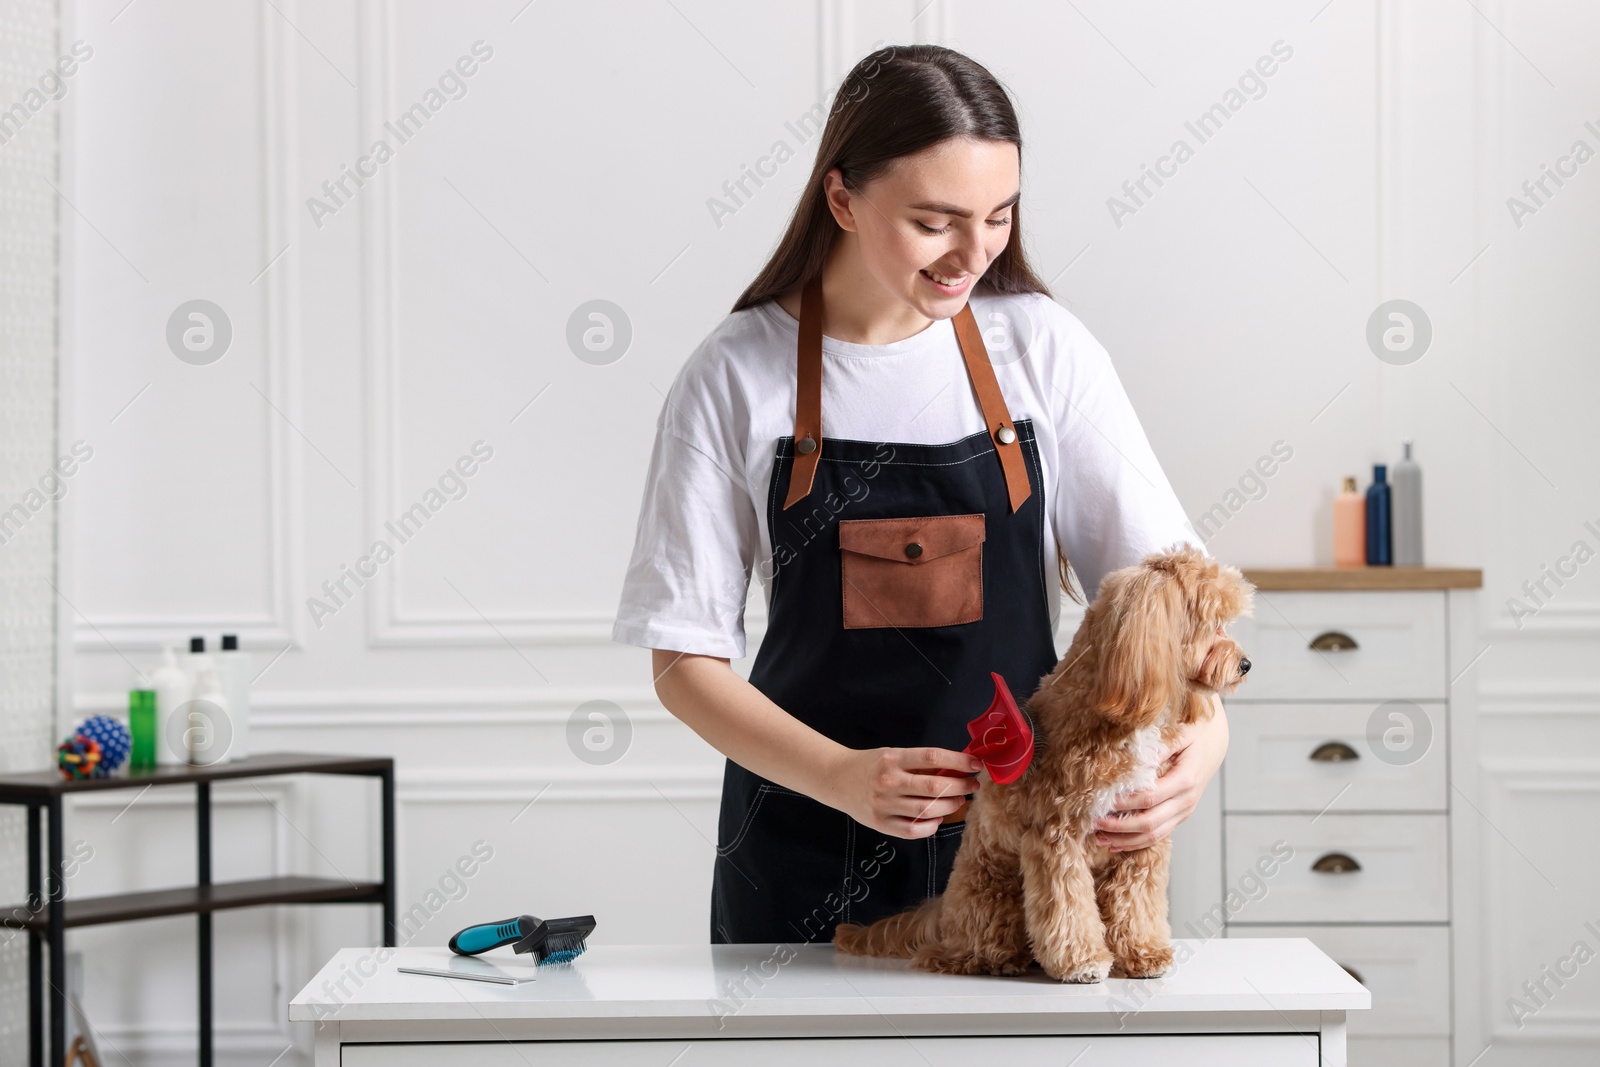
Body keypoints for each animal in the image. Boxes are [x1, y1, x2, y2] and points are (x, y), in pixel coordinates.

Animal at [832, 550, 1254, 985]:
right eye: (1212, 621)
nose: (1246, 664)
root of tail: (942, 917)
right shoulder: (1056, 837)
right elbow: (1067, 907)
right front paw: (1083, 962)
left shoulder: (1140, 842)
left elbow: (1137, 904)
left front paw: (1145, 953)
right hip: (992, 892)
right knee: (962, 951)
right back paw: (997, 959)